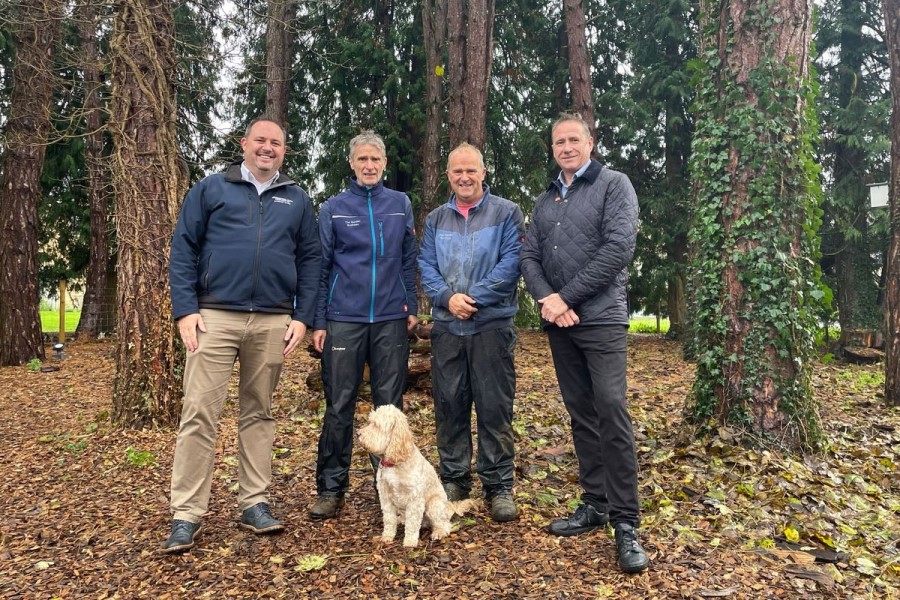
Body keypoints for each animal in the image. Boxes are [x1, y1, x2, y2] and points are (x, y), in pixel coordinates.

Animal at [356, 406, 478, 548]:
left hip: (434, 504)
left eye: (376, 425)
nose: (357, 433)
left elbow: (413, 523)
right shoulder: (385, 497)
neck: (395, 464)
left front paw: (409, 541)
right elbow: (389, 519)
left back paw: (438, 532)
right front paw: (387, 536)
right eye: (370, 422)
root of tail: (449, 507)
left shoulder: (414, 499)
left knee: (444, 524)